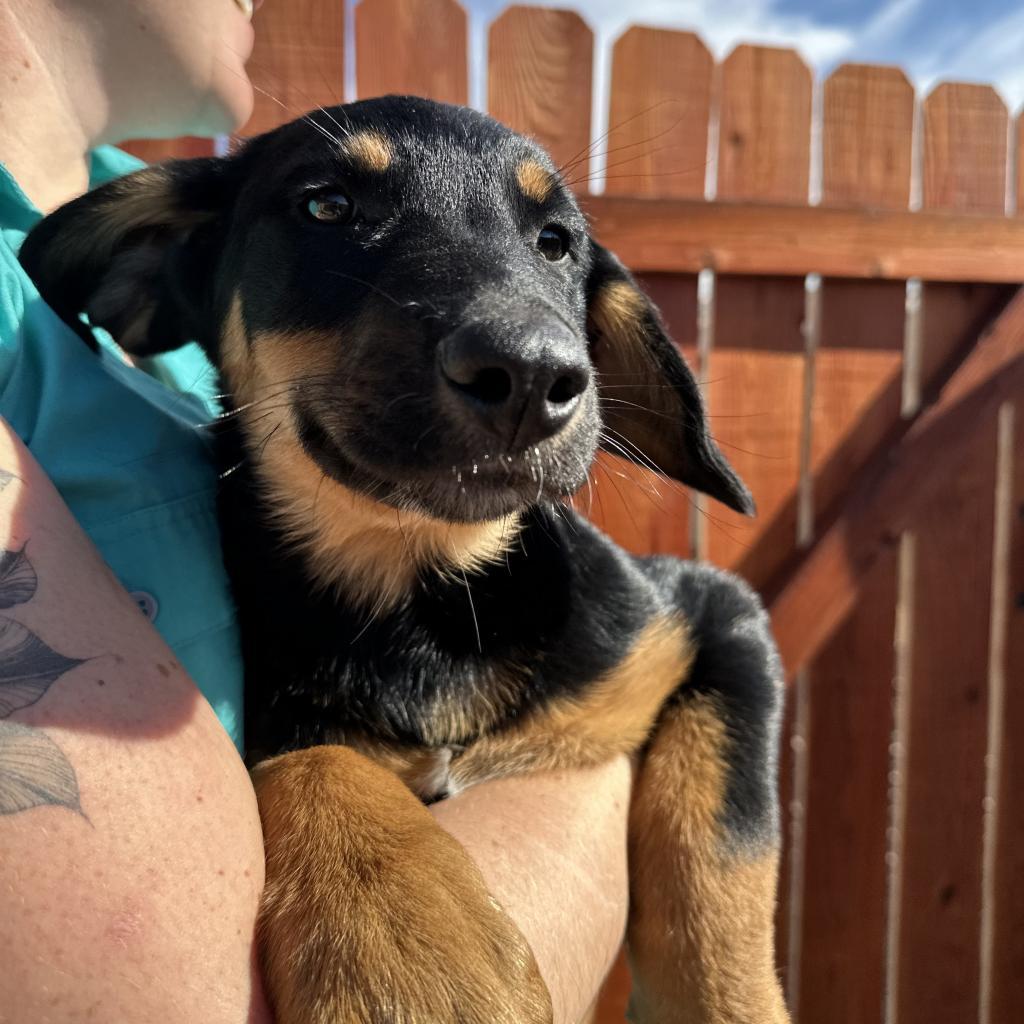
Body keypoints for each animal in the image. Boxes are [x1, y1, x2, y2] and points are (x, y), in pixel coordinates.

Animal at [22, 97, 790, 1024]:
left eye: (556, 241)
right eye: (326, 206)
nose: (530, 374)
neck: (427, 597)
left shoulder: (715, 618)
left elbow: (717, 862)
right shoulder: (291, 715)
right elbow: (314, 758)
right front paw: (413, 945)